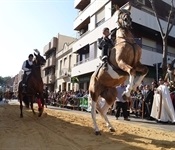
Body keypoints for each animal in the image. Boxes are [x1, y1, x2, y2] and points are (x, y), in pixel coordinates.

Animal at [89, 3, 148, 135]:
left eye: (129, 12)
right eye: (120, 13)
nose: (127, 20)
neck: (127, 40)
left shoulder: (137, 64)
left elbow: (144, 70)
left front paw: (131, 89)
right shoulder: (122, 64)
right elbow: (132, 72)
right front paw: (127, 92)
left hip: (110, 96)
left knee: (103, 111)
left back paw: (110, 127)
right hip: (94, 93)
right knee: (94, 112)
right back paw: (96, 129)